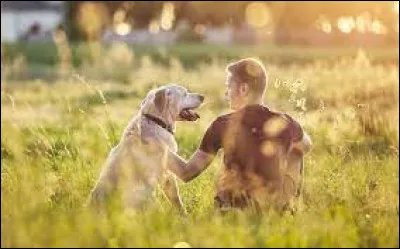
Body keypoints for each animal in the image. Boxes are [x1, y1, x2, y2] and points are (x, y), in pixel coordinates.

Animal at [88, 84, 205, 213]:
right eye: (184, 94)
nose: (202, 96)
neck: (156, 121)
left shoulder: (168, 177)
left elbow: (177, 202)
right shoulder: (169, 172)